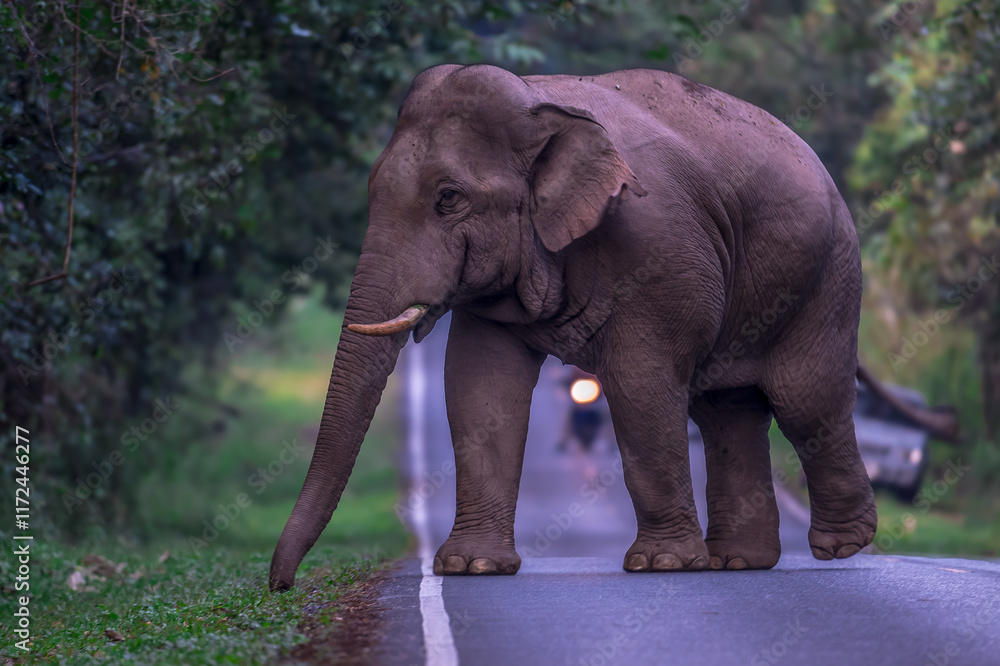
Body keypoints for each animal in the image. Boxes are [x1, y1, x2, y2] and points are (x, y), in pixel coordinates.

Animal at [270, 63, 888, 591]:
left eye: (449, 199)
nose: (282, 587)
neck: (538, 106)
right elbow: (478, 387)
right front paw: (471, 568)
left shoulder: (656, 248)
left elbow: (640, 383)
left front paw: (661, 565)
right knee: (727, 411)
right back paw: (738, 561)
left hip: (825, 275)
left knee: (806, 401)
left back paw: (840, 546)